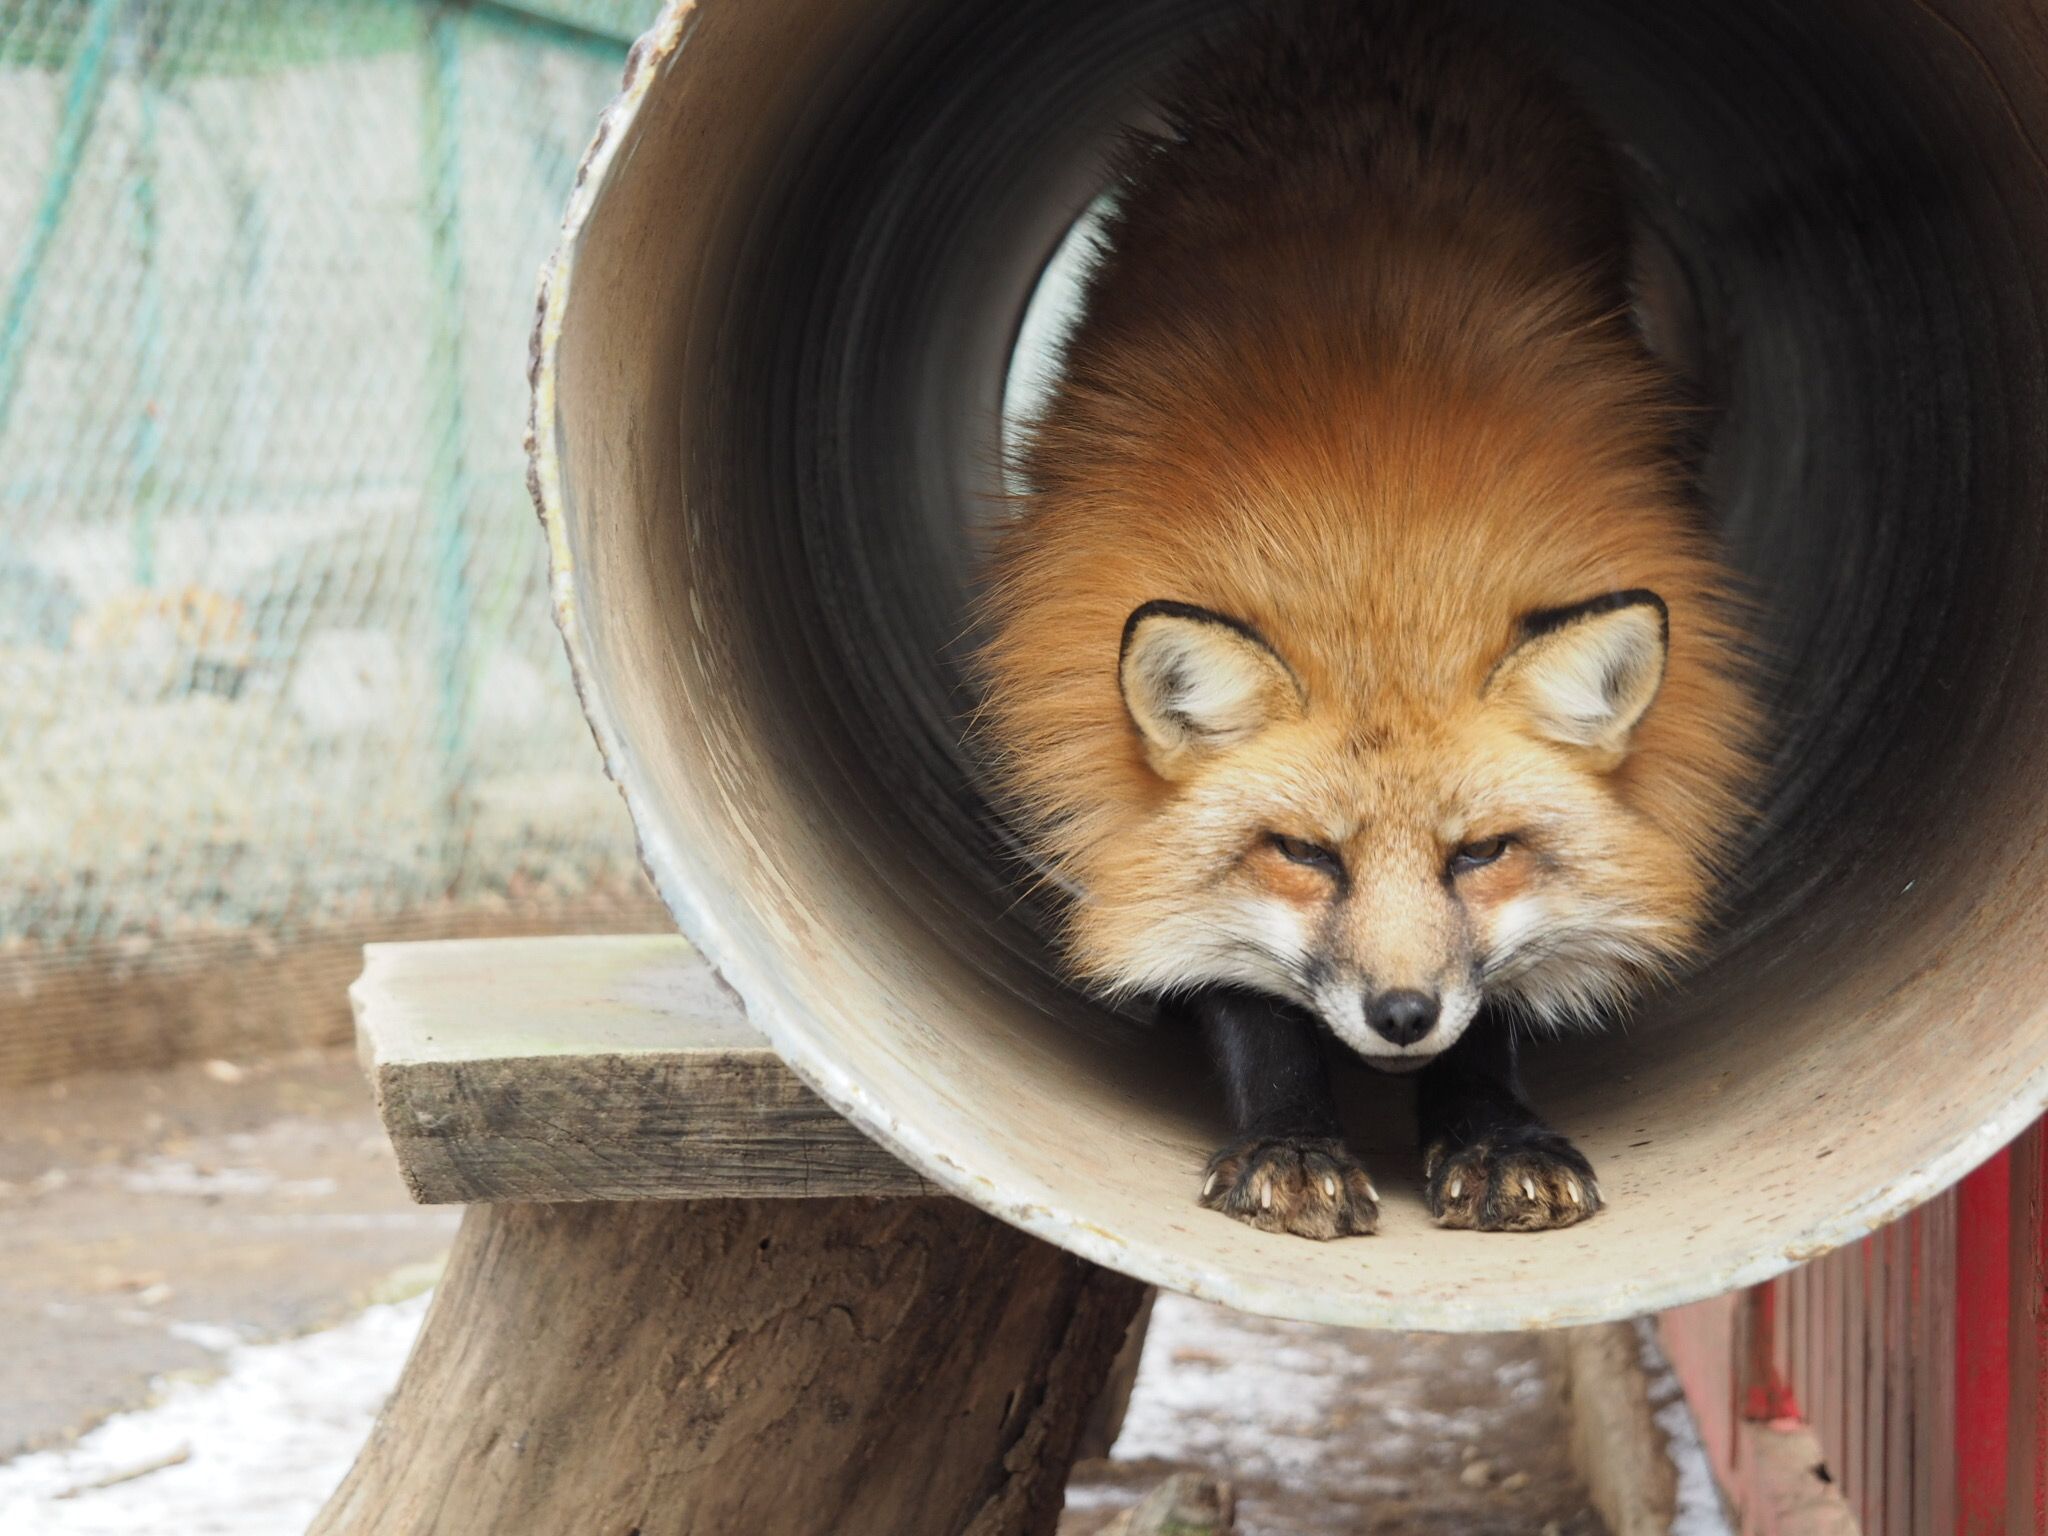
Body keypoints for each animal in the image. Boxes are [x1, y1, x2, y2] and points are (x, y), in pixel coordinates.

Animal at [970, 0, 1761, 1236]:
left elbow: (1494, 1011)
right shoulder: (1118, 820)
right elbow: (1240, 996)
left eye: (1482, 853)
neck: (1372, 543)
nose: (1399, 1015)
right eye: (1303, 854)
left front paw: (1493, 1136)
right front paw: (1289, 1142)